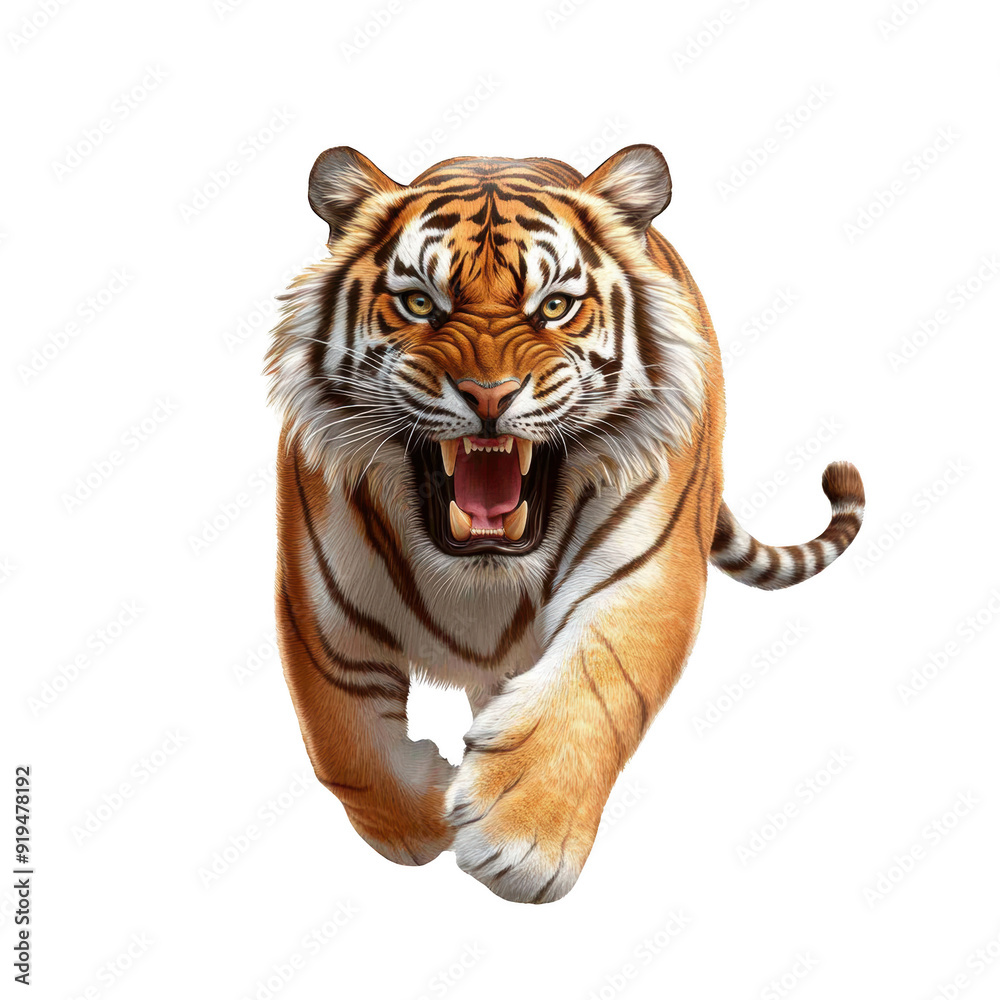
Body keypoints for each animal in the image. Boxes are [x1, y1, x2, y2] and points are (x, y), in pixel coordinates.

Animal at [266, 143, 865, 904]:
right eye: (419, 303)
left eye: (554, 306)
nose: (488, 397)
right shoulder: (320, 615)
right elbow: (345, 746)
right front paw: (425, 814)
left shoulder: (644, 580)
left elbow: (595, 686)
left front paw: (522, 835)